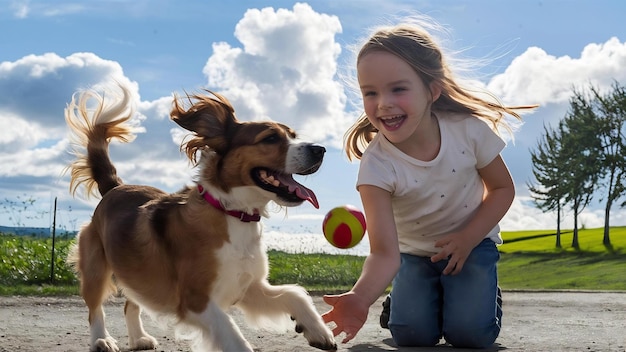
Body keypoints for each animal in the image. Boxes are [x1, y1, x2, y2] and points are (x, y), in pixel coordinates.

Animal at [65, 83, 334, 352]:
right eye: (270, 138)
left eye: (293, 135)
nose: (320, 150)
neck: (232, 213)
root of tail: (115, 187)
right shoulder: (196, 301)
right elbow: (233, 334)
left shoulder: (248, 287)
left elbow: (294, 294)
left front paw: (316, 329)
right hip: (95, 270)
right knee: (95, 310)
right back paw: (102, 339)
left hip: (138, 272)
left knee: (131, 303)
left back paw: (139, 338)